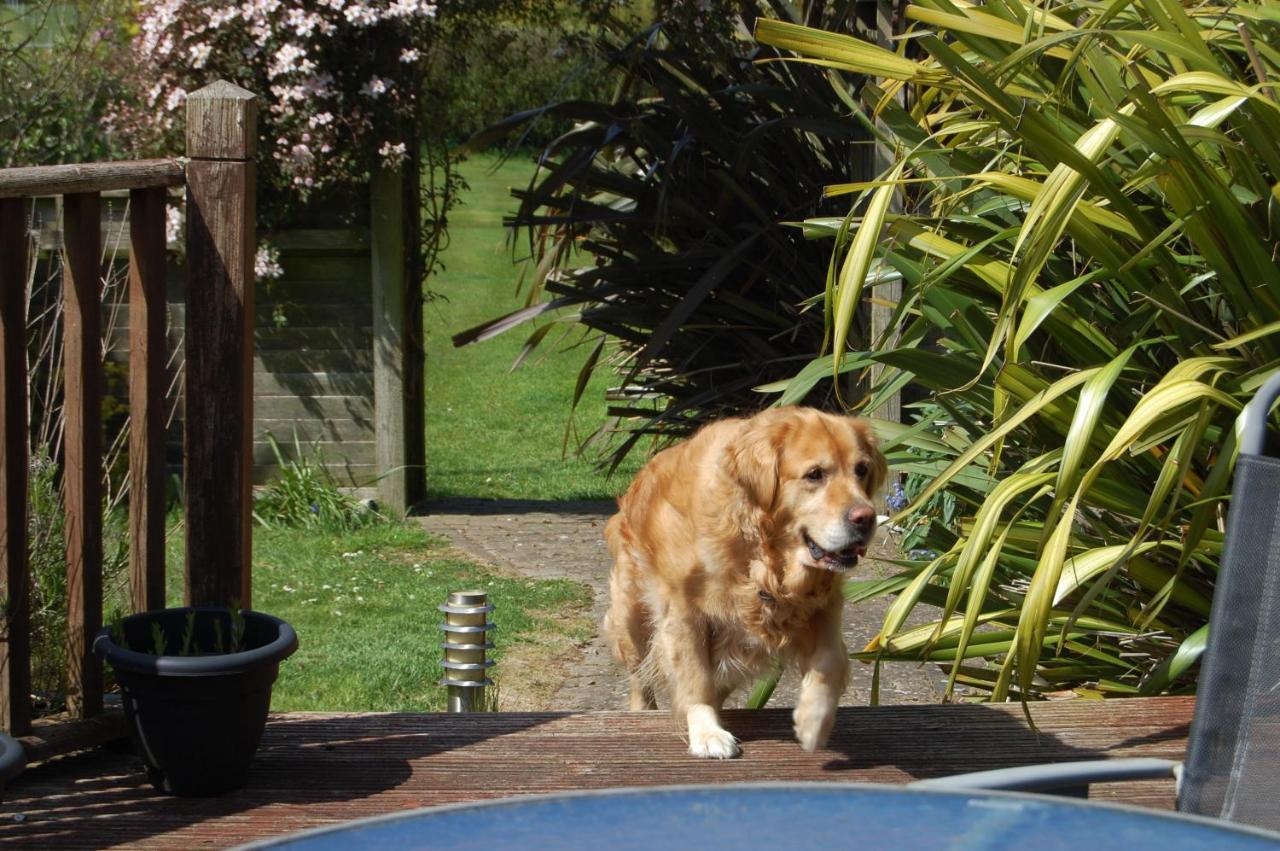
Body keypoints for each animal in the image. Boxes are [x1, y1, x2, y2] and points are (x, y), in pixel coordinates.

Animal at [604, 404, 885, 757]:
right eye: (815, 474)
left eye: (862, 470)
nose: (866, 518)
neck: (761, 554)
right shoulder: (683, 613)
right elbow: (695, 678)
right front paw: (707, 732)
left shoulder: (823, 605)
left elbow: (830, 660)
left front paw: (812, 722)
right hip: (632, 618)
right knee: (640, 676)